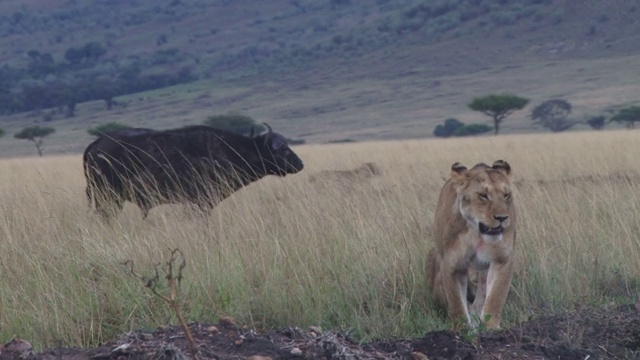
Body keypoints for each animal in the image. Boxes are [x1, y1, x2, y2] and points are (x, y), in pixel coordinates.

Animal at [84, 124, 304, 219]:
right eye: (284, 149)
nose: (300, 164)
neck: (231, 151)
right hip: (108, 198)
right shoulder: (203, 202)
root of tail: (96, 144)